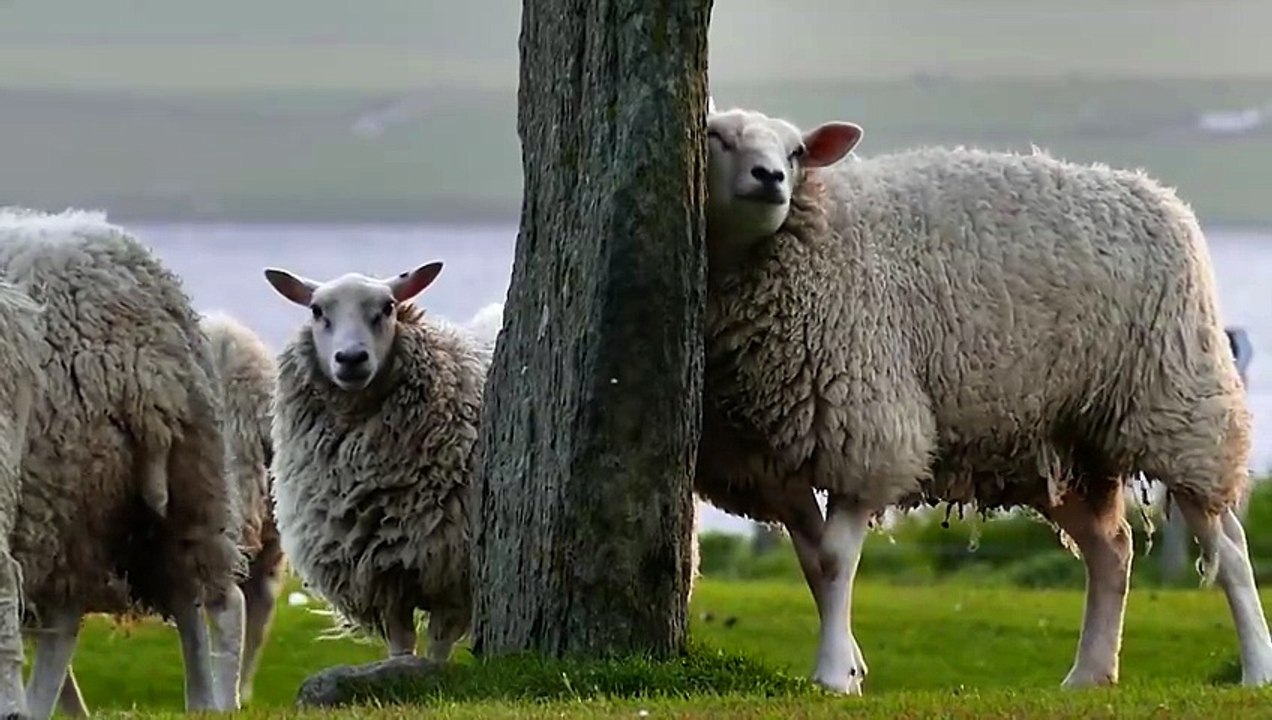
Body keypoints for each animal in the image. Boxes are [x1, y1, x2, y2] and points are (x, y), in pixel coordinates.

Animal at [264, 262, 495, 661]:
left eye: (388, 308)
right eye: (317, 311)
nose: (351, 359)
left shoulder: (452, 572)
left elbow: (438, 646)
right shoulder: (382, 577)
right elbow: (401, 645)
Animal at [697, 101, 1272, 695]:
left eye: (797, 152)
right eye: (716, 137)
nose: (771, 178)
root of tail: (1161, 194)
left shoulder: (871, 432)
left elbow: (833, 560)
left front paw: (833, 674)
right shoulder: (769, 459)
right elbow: (812, 560)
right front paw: (852, 666)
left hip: (1181, 406)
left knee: (1229, 547)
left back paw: (1256, 667)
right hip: (1064, 442)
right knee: (1112, 550)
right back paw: (1089, 674)